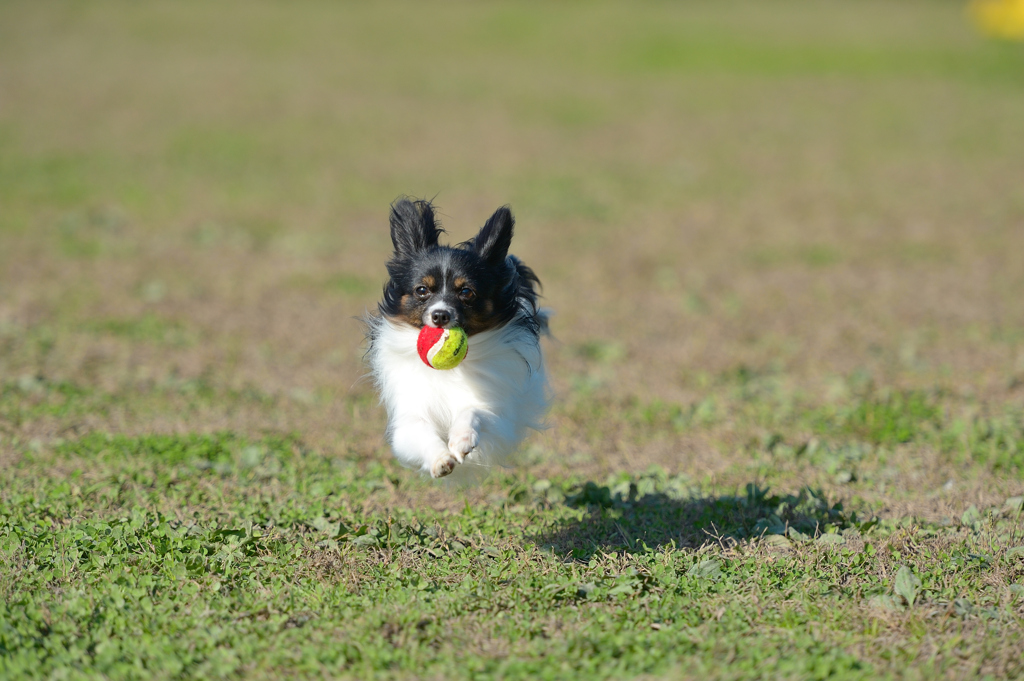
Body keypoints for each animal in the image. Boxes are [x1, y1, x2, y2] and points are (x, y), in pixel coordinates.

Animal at [364, 197, 548, 477]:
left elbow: (474, 411)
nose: (440, 315)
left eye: (466, 292)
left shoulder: (498, 415)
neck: (451, 371)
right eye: (422, 290)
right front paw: (440, 458)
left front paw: (462, 438)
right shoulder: (408, 421)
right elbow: (420, 432)